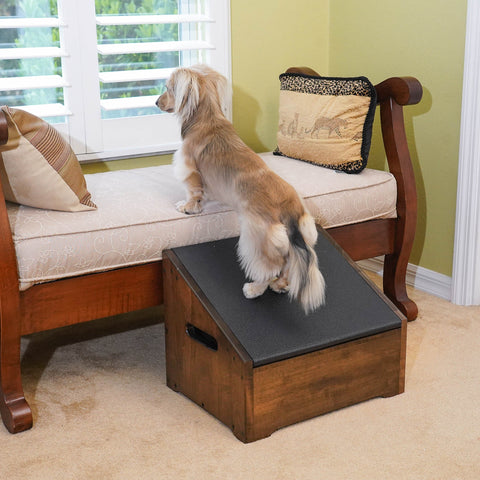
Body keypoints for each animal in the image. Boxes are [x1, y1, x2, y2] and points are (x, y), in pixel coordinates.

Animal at [156, 66, 324, 316]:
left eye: (168, 88)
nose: (156, 102)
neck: (207, 120)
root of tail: (289, 206)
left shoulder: (190, 168)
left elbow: (193, 192)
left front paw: (187, 207)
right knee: (285, 263)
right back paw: (280, 285)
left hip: (256, 239)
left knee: (269, 268)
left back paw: (254, 289)